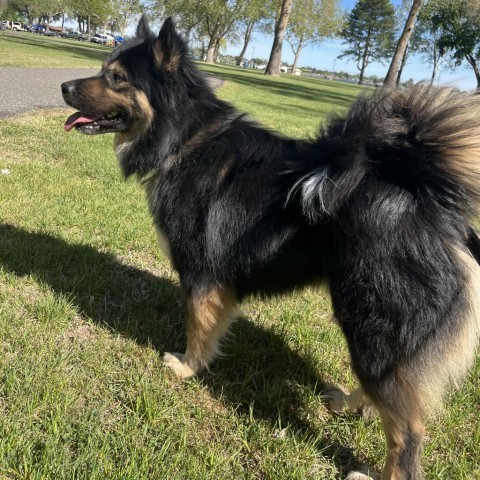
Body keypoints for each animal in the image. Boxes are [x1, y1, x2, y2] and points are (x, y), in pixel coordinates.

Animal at [62, 15, 480, 480]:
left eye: (116, 78)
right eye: (105, 70)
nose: (63, 86)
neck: (184, 139)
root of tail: (428, 201)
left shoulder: (200, 273)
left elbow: (196, 327)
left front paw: (187, 367)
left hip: (374, 323)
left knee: (407, 430)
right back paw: (348, 403)